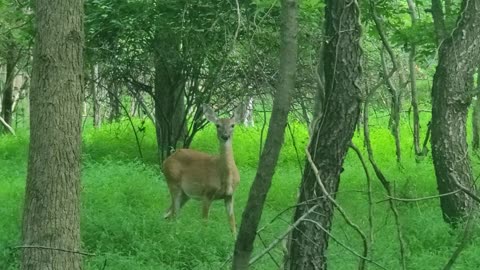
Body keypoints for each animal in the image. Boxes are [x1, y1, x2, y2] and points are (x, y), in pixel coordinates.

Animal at [163, 104, 242, 235]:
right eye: (217, 125)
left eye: (232, 125)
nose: (225, 136)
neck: (226, 177)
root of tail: (167, 160)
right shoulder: (207, 193)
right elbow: (205, 222)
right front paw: (204, 237)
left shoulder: (230, 196)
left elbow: (232, 225)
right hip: (173, 183)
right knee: (174, 213)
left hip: (186, 194)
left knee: (168, 214)